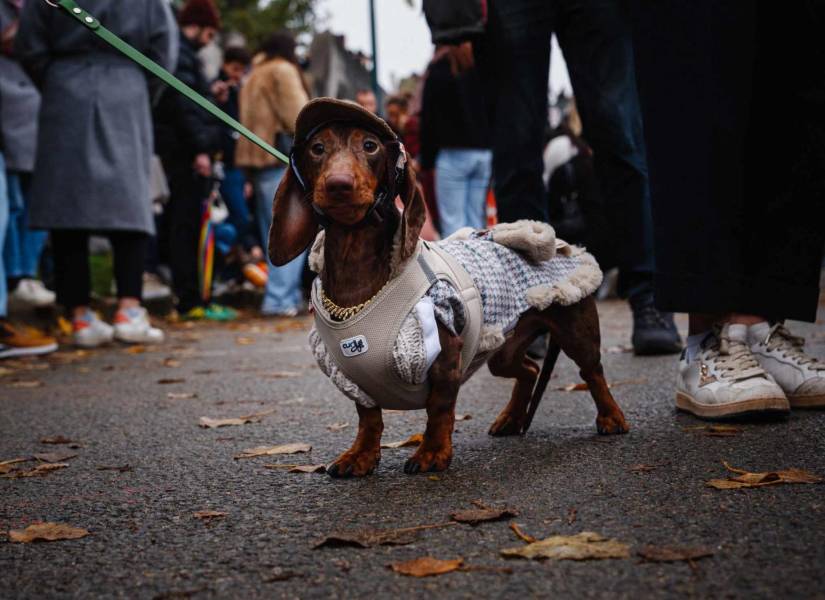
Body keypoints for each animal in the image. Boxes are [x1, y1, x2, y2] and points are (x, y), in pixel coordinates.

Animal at [268, 99, 624, 478]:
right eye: (317, 148)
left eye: (370, 145)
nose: (338, 184)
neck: (358, 271)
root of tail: (561, 242)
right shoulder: (355, 380)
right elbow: (369, 418)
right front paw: (360, 456)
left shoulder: (445, 358)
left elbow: (439, 409)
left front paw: (432, 453)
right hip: (503, 349)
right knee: (529, 369)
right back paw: (511, 418)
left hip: (575, 331)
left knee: (593, 372)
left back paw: (611, 417)